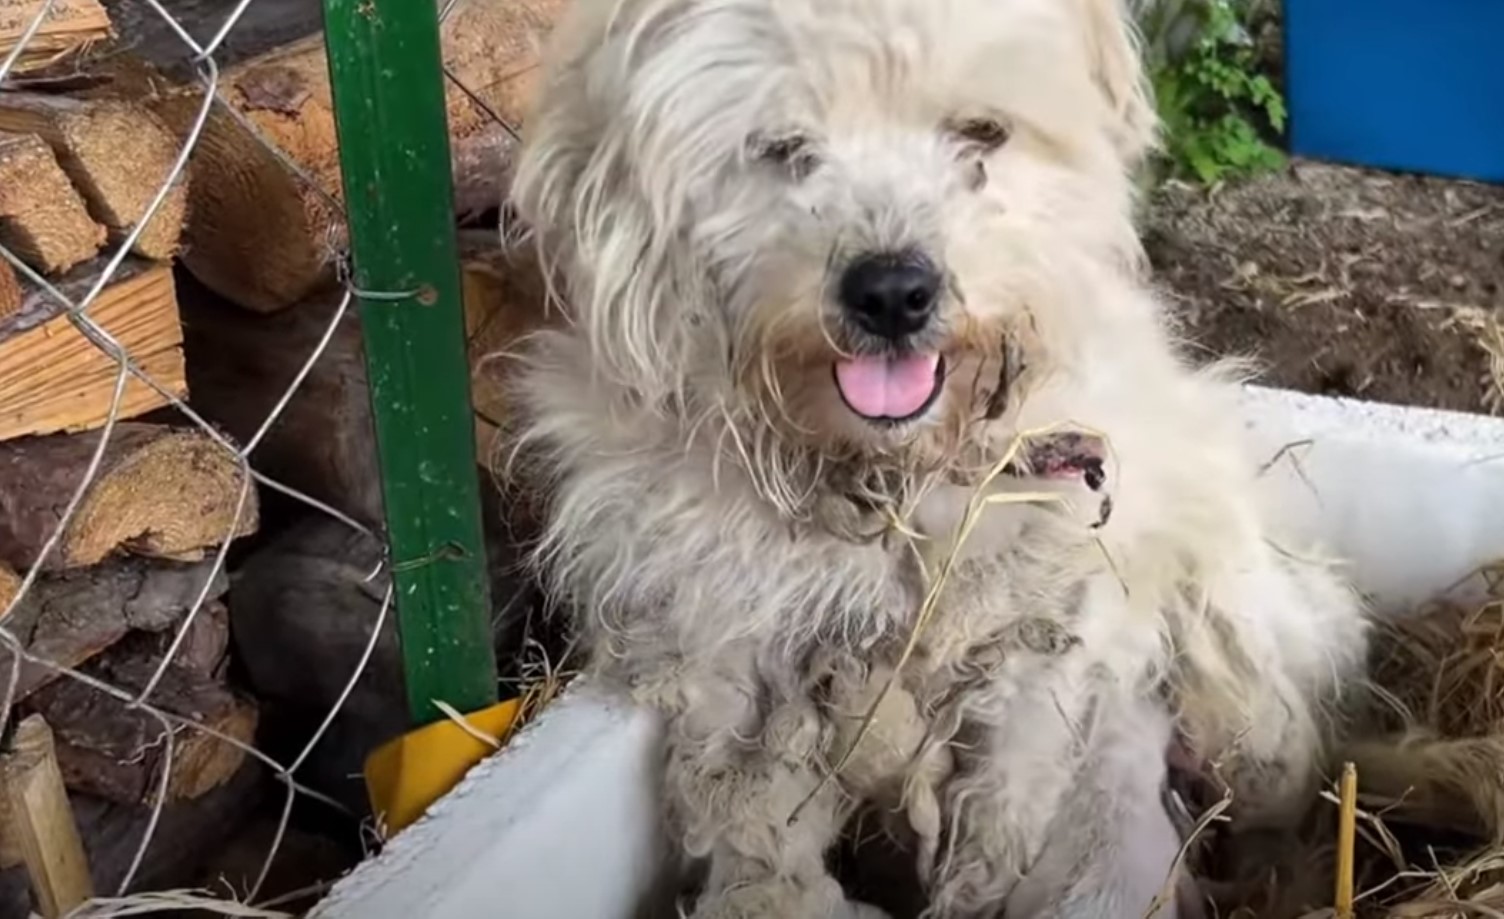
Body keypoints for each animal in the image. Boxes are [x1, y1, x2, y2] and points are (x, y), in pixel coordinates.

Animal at [511, 0, 1371, 914]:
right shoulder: (728, 661)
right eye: (782, 146)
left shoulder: (1045, 645)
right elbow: (755, 824)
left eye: (981, 132)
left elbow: (1006, 814)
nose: (892, 292)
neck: (890, 480)